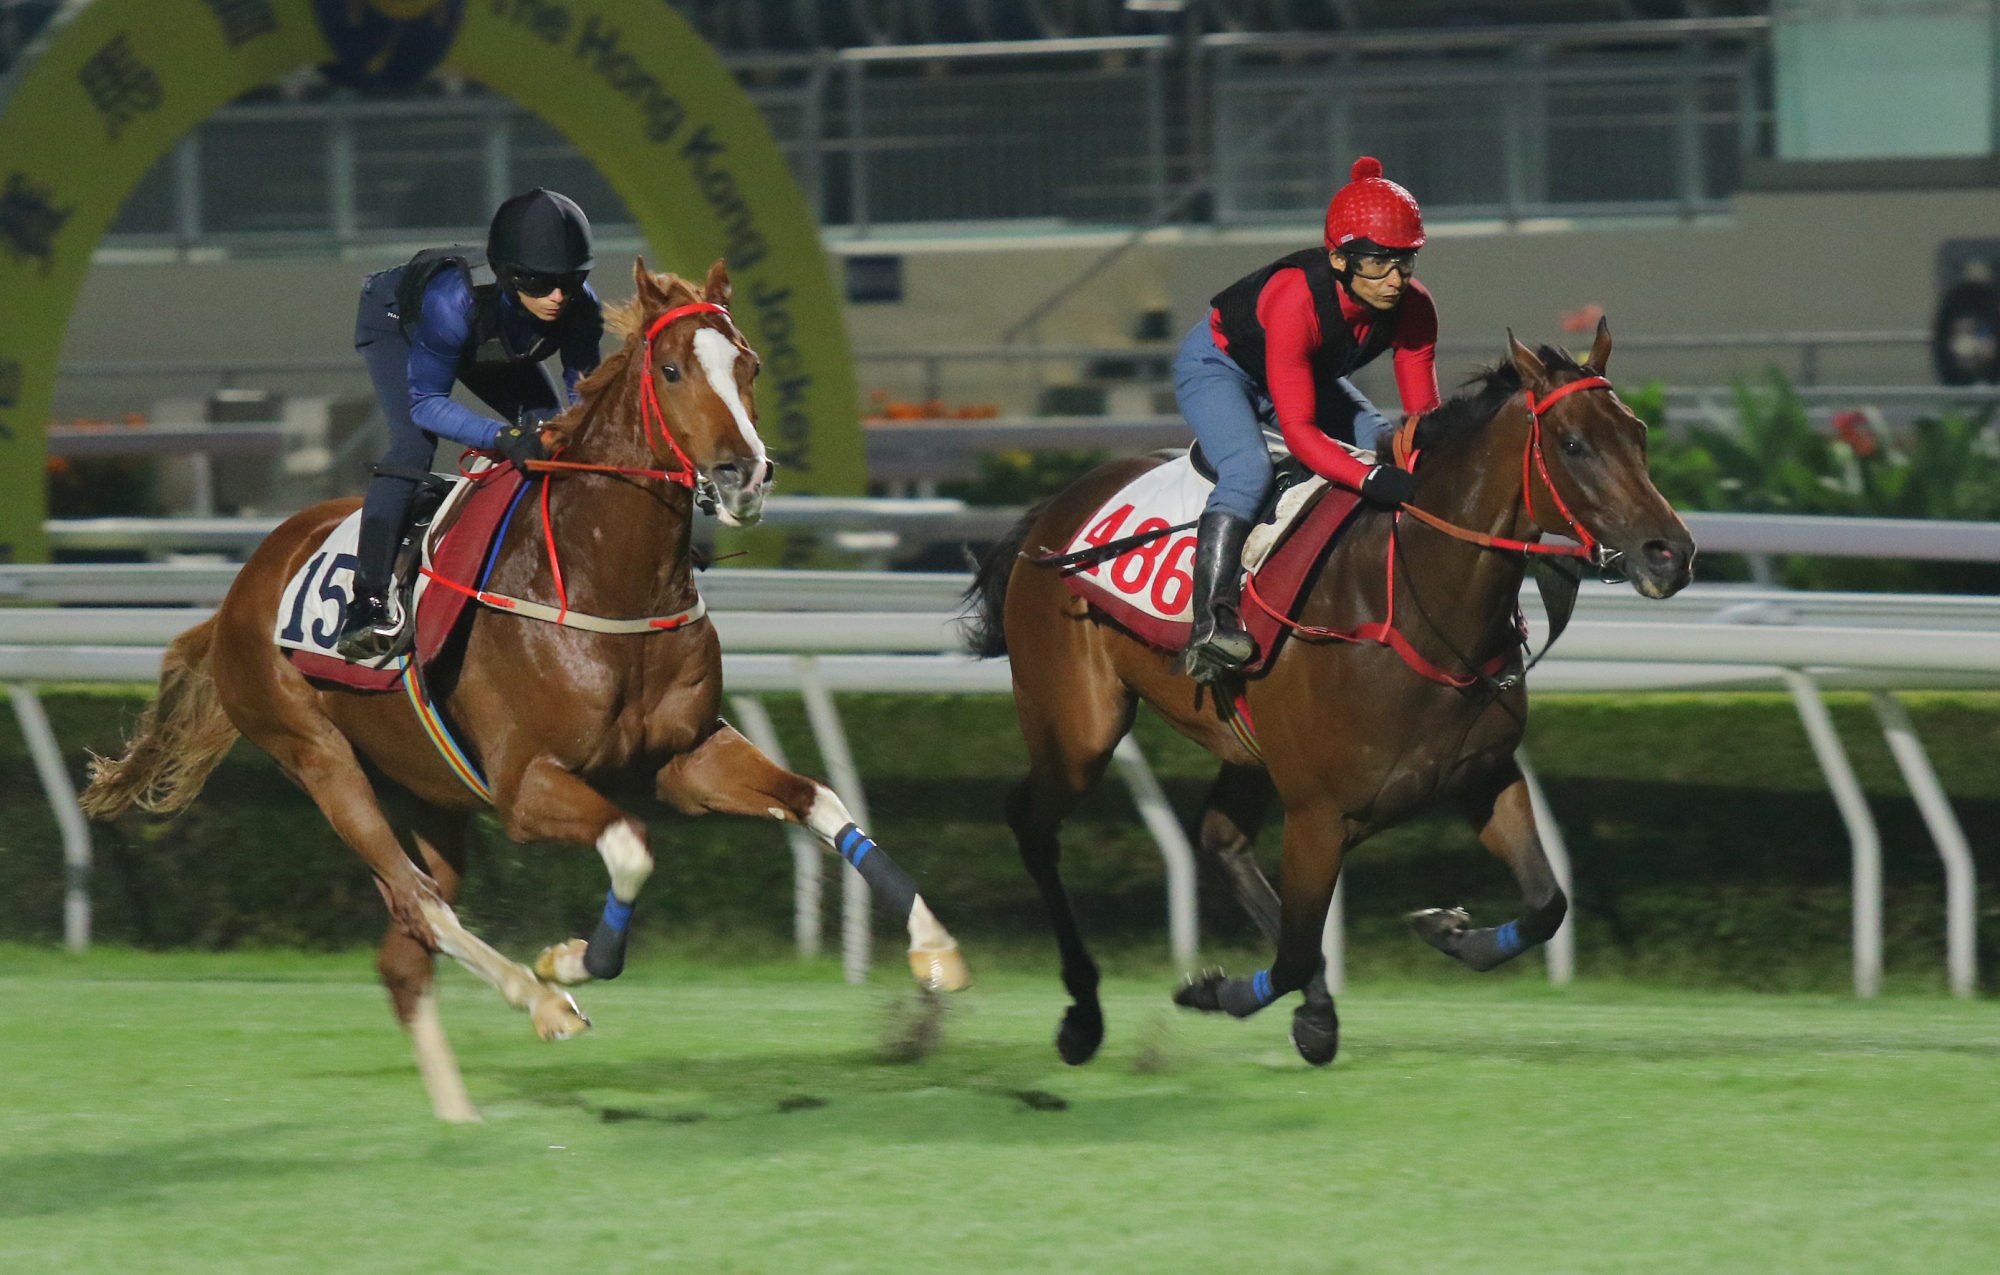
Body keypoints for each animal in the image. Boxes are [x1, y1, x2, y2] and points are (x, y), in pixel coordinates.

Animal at [82, 263, 972, 1127]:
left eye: (748, 364)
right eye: (674, 369)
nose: (742, 474)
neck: (603, 577)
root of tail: (242, 587)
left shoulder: (688, 757)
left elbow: (819, 799)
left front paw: (933, 946)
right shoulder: (525, 784)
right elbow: (631, 845)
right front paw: (571, 960)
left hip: (431, 791)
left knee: (403, 953)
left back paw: (460, 1113)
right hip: (319, 758)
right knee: (422, 906)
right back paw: (539, 1002)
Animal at [964, 327, 1688, 1071]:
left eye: (1638, 434)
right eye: (1573, 444)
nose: (1671, 552)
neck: (1413, 606)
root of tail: (1053, 508)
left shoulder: (1484, 776)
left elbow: (1547, 902)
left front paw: (1447, 932)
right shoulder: (1318, 813)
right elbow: (1291, 951)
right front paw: (1219, 992)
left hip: (1245, 747)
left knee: (1219, 840)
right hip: (1080, 727)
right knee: (1033, 822)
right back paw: (1083, 1012)